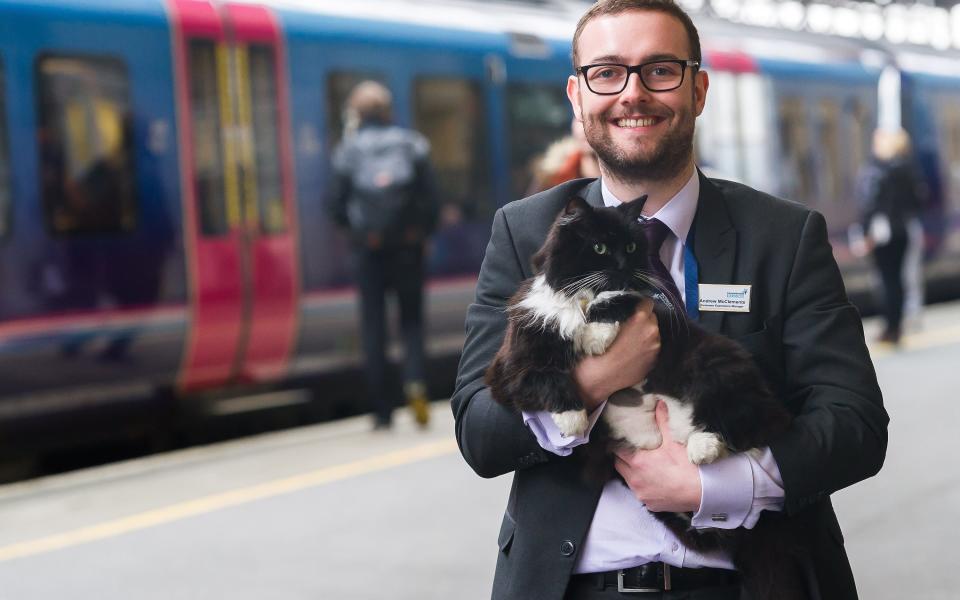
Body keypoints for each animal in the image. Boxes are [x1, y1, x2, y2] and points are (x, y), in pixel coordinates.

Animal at [484, 195, 800, 600]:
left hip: (714, 364)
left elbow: (625, 297)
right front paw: (573, 419)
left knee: (745, 423)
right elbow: (547, 379)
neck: (581, 297)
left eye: (632, 247)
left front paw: (597, 335)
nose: (623, 264)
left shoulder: (651, 310)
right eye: (600, 248)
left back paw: (701, 447)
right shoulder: (509, 369)